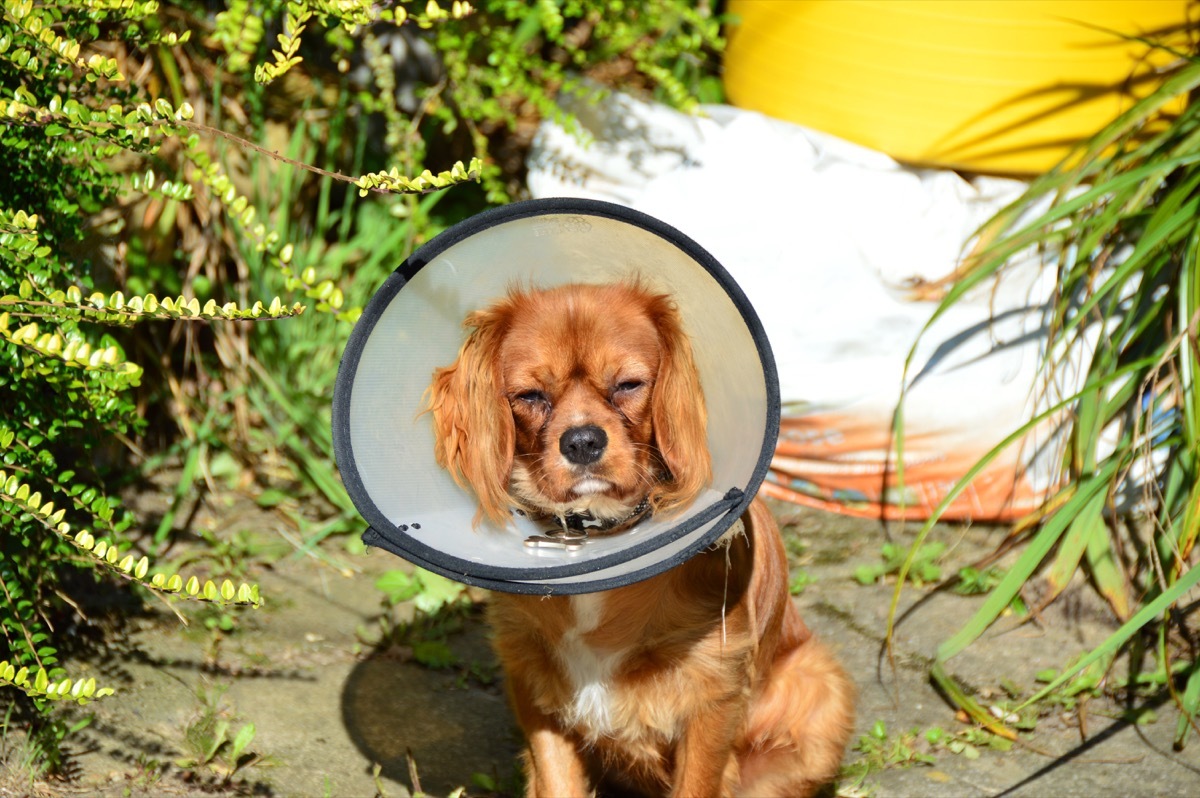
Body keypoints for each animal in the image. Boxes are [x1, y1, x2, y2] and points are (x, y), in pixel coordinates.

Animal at [427, 283, 849, 792]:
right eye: (530, 395)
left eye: (628, 384)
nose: (582, 441)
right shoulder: (534, 685)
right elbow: (557, 783)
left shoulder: (714, 694)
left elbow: (697, 785)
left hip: (821, 689)